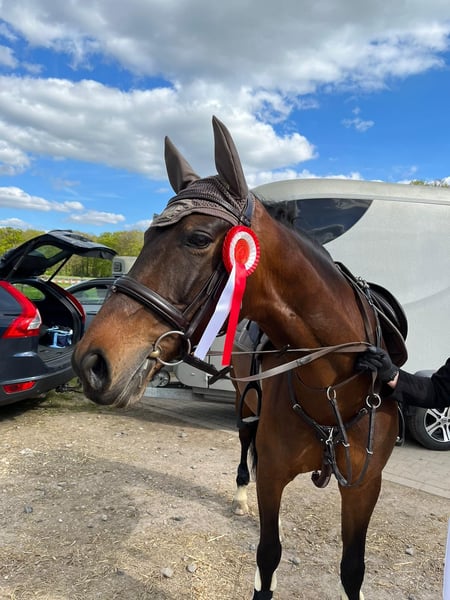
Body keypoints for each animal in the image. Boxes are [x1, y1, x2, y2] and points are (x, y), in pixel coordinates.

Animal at [72, 116, 400, 600]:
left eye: (198, 237)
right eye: (147, 236)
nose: (90, 361)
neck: (333, 386)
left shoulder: (364, 487)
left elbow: (352, 570)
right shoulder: (273, 477)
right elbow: (268, 554)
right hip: (245, 401)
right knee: (246, 442)